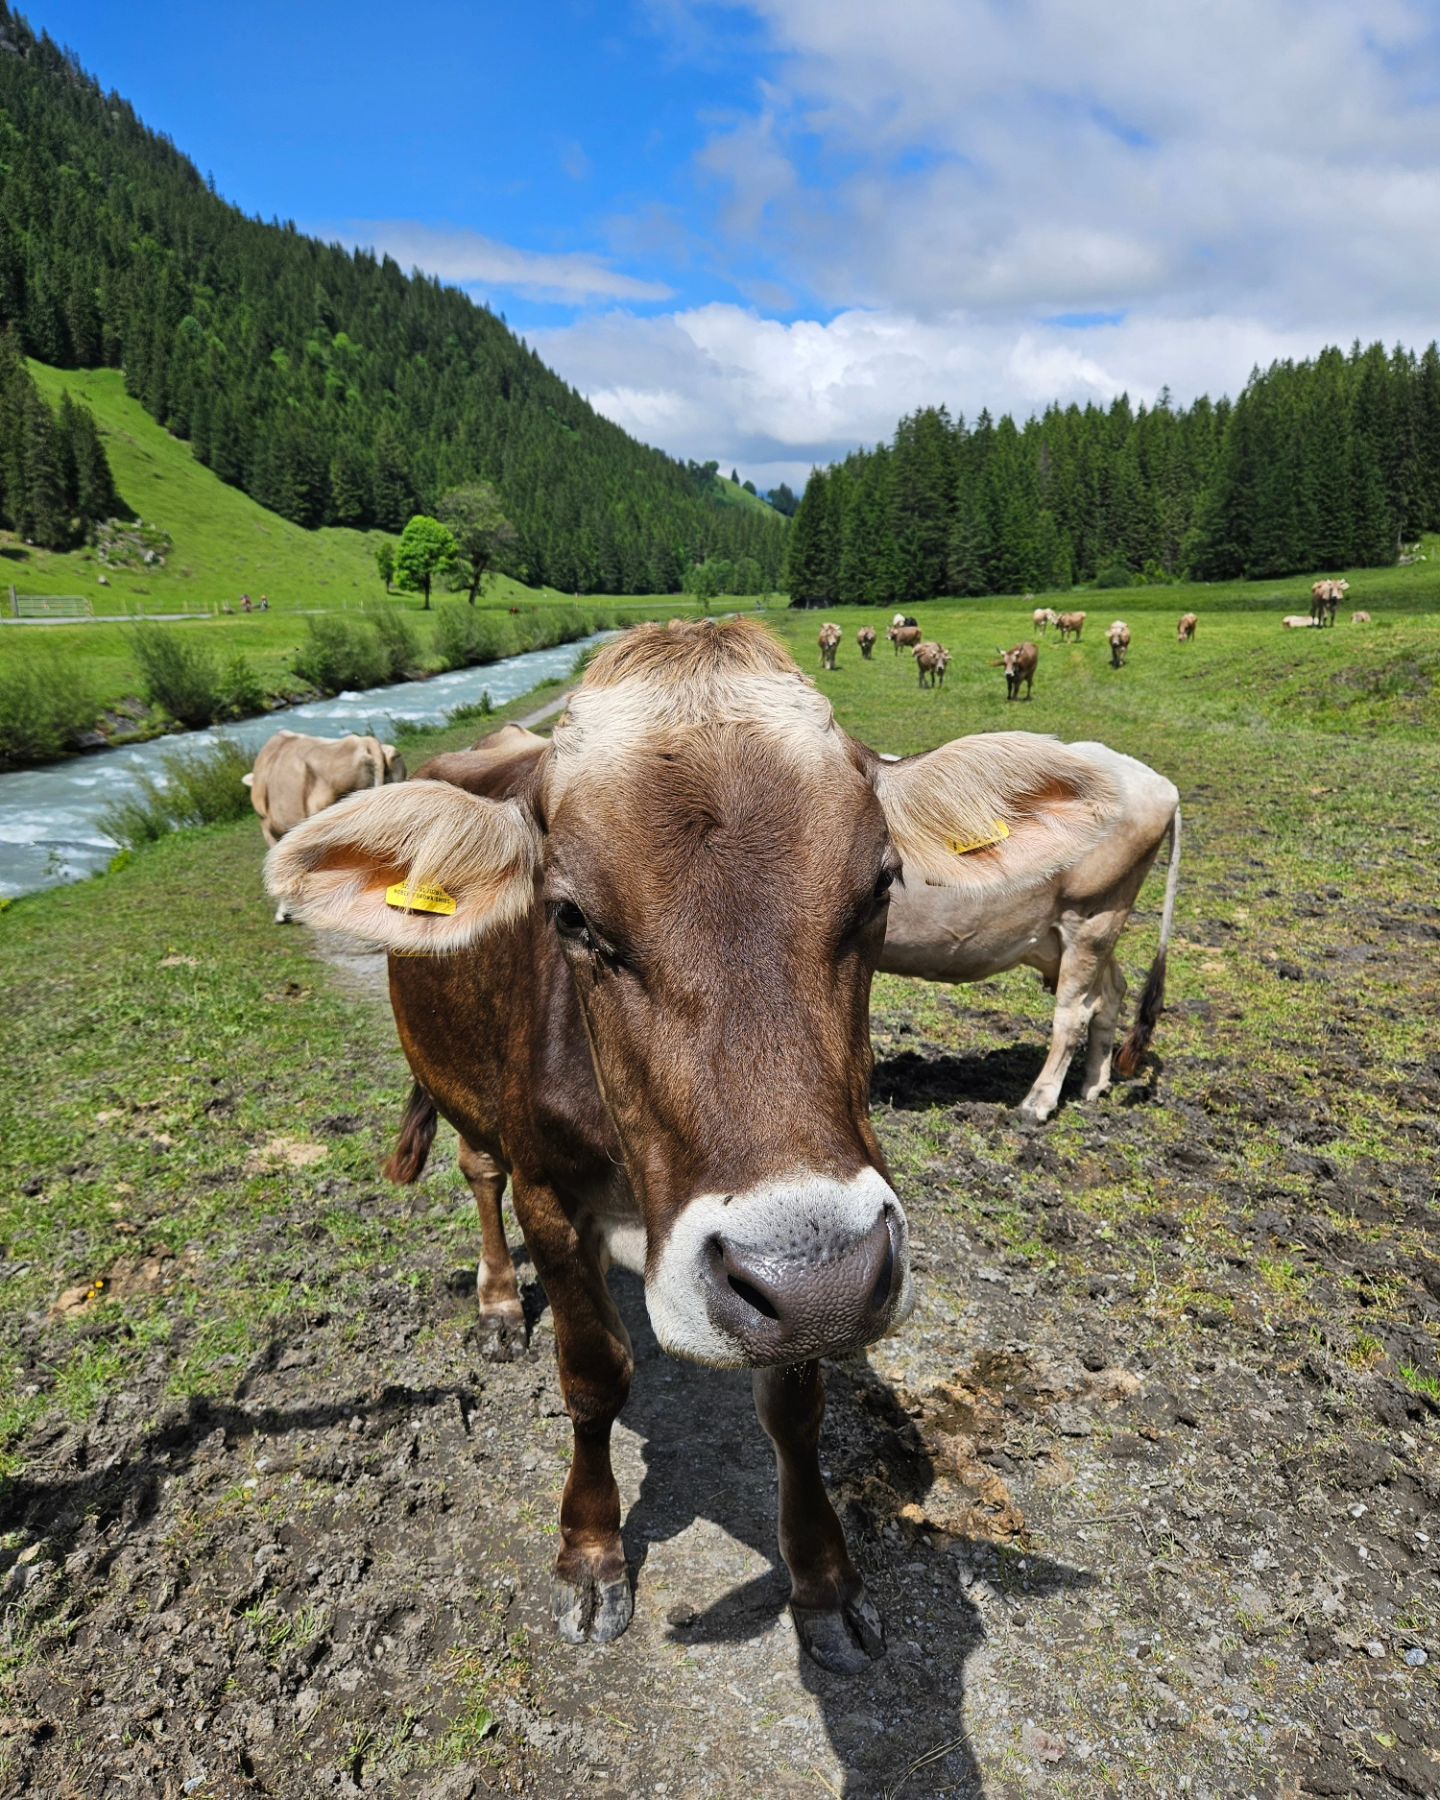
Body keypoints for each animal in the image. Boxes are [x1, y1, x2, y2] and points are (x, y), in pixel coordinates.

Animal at [878, 730, 1180, 1123]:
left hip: (1092, 920)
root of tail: (1160, 783)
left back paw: (1039, 1101)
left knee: (1074, 1015)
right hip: (1087, 933)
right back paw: (1094, 1084)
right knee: (1112, 990)